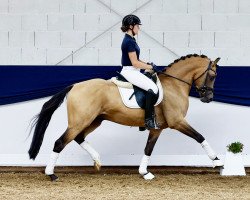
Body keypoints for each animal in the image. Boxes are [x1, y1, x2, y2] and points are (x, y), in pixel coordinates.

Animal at [28, 53, 223, 181]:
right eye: (213, 76)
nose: (208, 98)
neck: (174, 85)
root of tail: (75, 86)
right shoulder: (177, 122)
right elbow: (200, 136)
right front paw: (217, 162)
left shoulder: (157, 128)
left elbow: (148, 149)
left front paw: (145, 172)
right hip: (80, 121)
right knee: (60, 142)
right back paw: (51, 174)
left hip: (95, 120)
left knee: (78, 137)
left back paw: (97, 160)